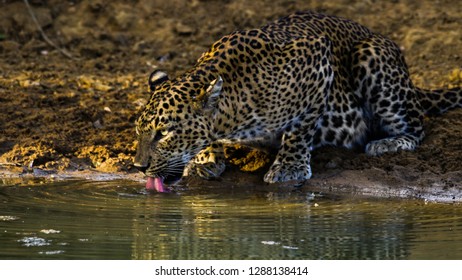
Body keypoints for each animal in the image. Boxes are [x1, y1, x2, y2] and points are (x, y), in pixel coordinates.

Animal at [133, 10, 462, 190]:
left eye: (164, 133)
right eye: (139, 131)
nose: (137, 167)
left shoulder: (318, 64)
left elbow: (300, 128)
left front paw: (289, 168)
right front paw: (205, 159)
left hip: (372, 54)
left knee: (416, 128)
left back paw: (386, 143)